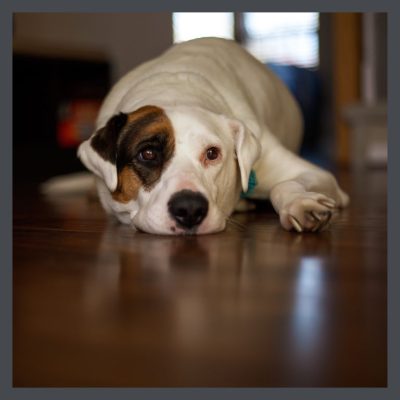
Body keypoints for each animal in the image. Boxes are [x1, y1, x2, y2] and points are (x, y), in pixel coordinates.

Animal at [61, 37, 348, 234]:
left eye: (212, 153)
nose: (189, 209)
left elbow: (284, 184)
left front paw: (301, 204)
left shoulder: (318, 174)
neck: (173, 91)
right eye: (148, 153)